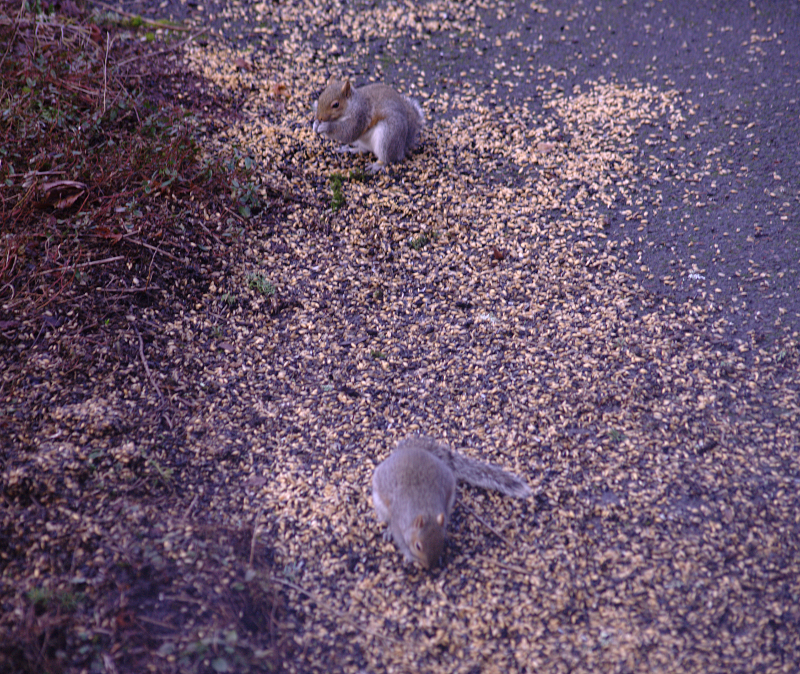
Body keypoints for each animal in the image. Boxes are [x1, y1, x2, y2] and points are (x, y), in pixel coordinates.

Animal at [371, 435, 531, 569]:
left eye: (440, 541)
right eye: (418, 546)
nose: (430, 566)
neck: (425, 510)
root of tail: (412, 451)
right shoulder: (399, 523)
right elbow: (400, 540)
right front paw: (410, 556)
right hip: (379, 501)